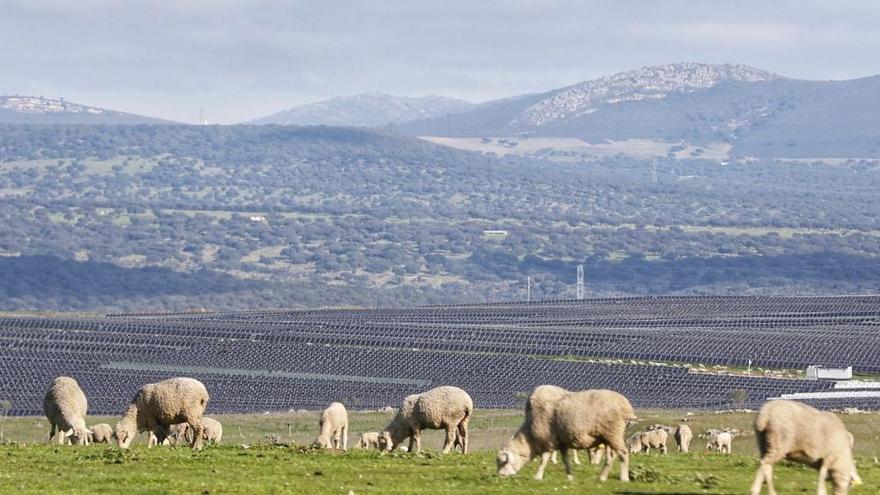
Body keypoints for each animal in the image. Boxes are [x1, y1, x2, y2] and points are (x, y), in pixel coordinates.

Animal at [498, 388, 636, 484]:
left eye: (504, 462)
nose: (502, 476)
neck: (529, 438)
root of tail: (627, 407)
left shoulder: (548, 441)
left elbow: (544, 460)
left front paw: (537, 476)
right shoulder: (561, 443)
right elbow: (565, 460)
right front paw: (570, 476)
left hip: (613, 433)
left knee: (623, 453)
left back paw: (624, 478)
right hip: (608, 437)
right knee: (611, 457)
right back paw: (602, 477)